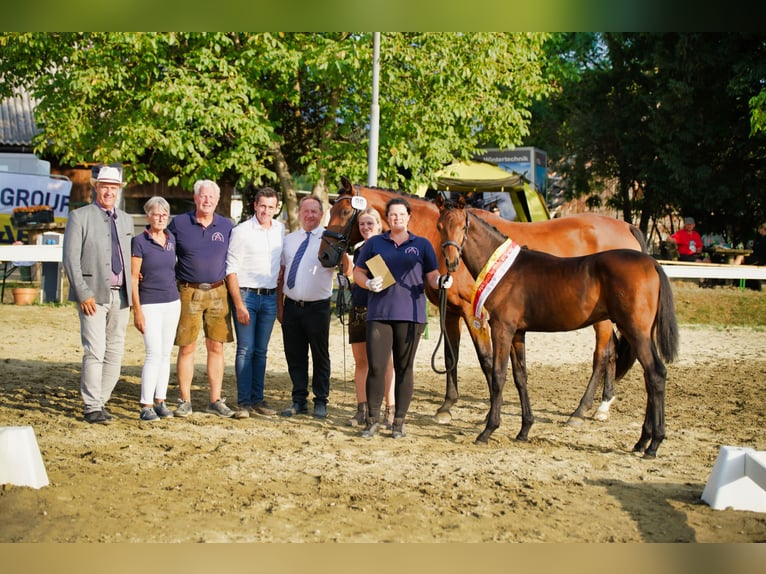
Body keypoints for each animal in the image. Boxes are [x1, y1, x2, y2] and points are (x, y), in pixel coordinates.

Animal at [319, 177, 648, 427]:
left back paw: (580, 412)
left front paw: (491, 407)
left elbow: (487, 359)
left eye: (346, 212)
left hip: (602, 318)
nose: (325, 255)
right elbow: (450, 357)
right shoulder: (450, 311)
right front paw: (446, 407)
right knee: (612, 353)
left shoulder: (472, 311)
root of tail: (626, 227)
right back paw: (602, 406)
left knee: (602, 355)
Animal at [436, 195, 678, 458]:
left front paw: (488, 430)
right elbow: (521, 376)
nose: (451, 262)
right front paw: (524, 430)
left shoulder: (502, 329)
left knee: (654, 374)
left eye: (463, 227)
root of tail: (652, 263)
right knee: (649, 375)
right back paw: (642, 441)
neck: (503, 269)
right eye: (440, 227)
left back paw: (652, 443)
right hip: (639, 332)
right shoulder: (518, 332)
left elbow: (499, 375)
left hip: (635, 331)